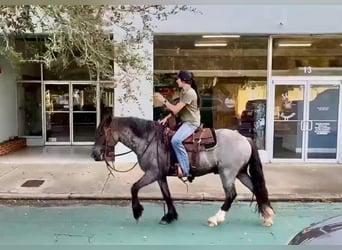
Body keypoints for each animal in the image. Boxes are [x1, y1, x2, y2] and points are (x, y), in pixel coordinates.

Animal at [91, 114, 276, 228]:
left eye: (100, 133)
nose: (94, 154)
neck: (148, 140)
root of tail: (245, 138)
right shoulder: (160, 175)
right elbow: (167, 195)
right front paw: (170, 216)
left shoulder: (152, 173)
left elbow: (134, 187)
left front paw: (137, 212)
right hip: (240, 172)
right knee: (256, 189)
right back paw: (267, 216)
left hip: (227, 173)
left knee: (231, 195)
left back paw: (215, 219)